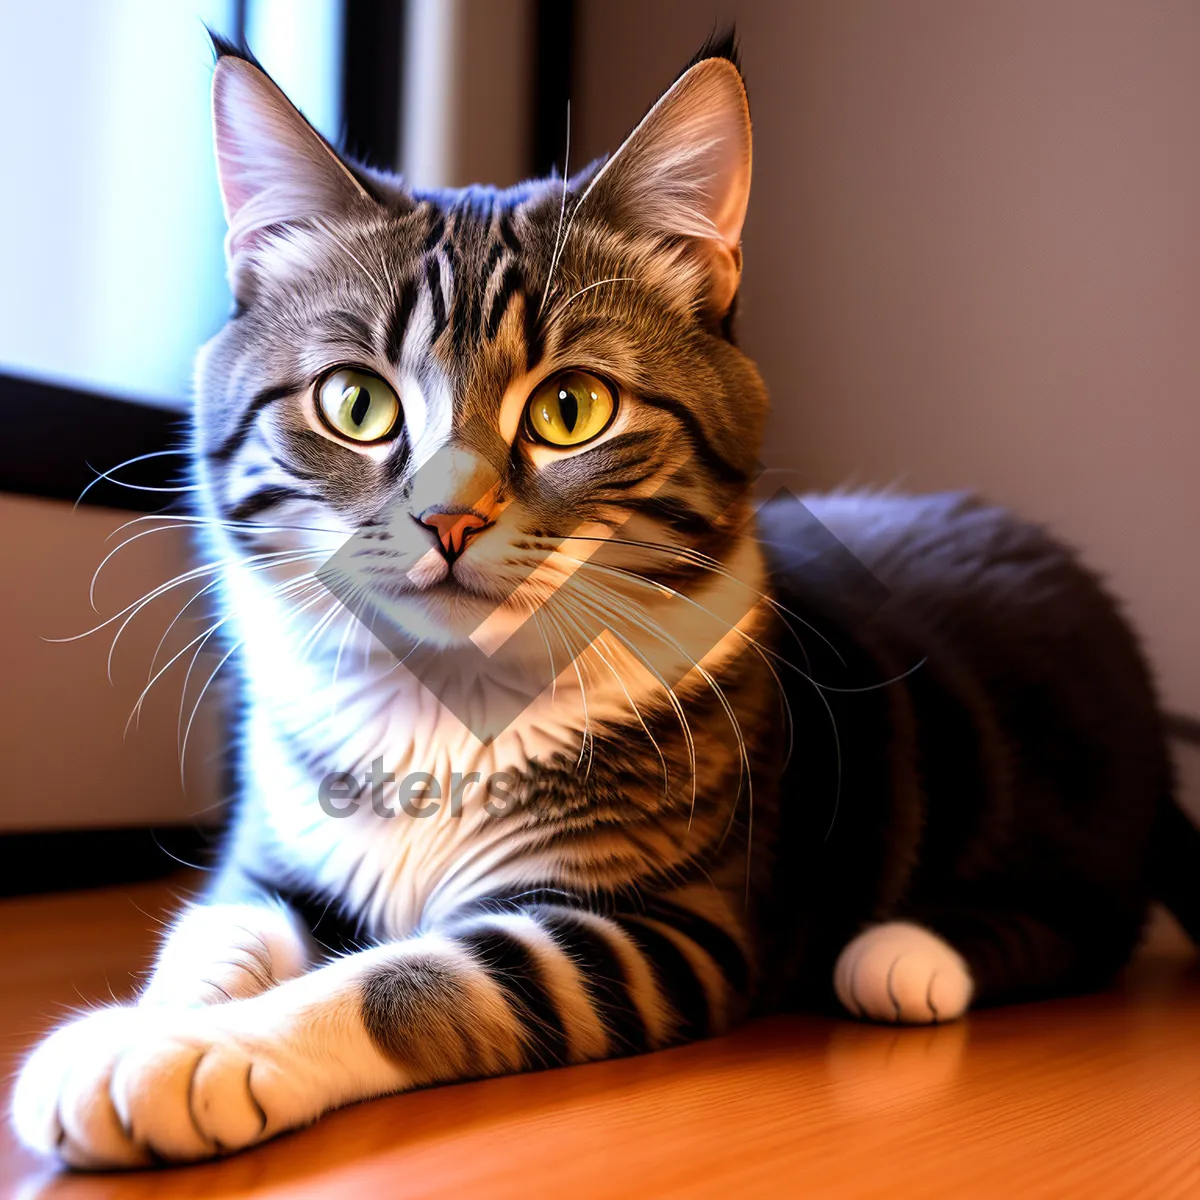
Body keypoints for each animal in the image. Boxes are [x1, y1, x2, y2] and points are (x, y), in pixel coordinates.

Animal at [9, 32, 1190, 1166]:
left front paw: (195, 1056)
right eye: (356, 402)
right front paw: (145, 1029)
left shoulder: (653, 924)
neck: (444, 707)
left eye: (570, 409)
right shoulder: (275, 859)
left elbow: (406, 978)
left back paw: (906, 956)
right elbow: (212, 935)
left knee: (1077, 924)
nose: (448, 520)